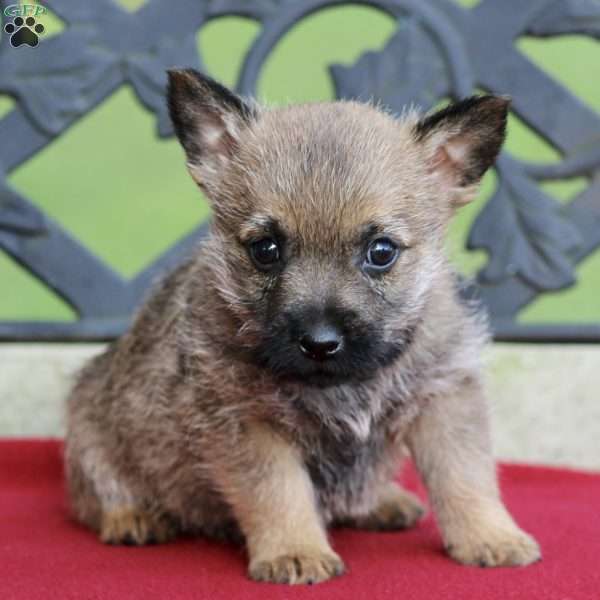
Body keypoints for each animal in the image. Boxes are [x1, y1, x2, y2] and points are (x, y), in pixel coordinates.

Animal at [65, 68, 540, 584]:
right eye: (266, 249)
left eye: (381, 251)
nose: (320, 342)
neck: (342, 384)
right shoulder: (247, 421)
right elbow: (278, 492)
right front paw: (295, 550)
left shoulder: (445, 397)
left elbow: (465, 474)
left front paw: (490, 535)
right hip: (88, 430)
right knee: (97, 491)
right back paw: (133, 516)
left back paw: (382, 502)